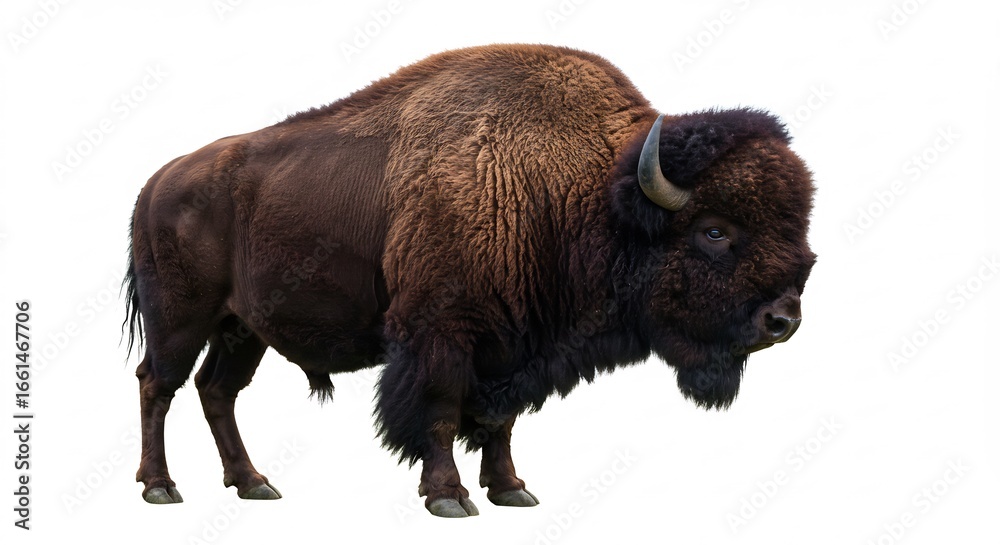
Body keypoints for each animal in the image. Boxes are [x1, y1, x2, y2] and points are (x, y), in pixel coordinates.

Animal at [123, 44, 815, 517]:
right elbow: (439, 410)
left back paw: (255, 484)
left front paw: (512, 490)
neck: (581, 190)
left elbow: (498, 418)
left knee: (218, 391)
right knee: (159, 384)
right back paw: (161, 487)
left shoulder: (515, 345)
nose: (783, 320)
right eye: (714, 231)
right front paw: (449, 497)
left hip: (242, 330)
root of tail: (157, 182)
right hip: (180, 319)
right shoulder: (439, 333)